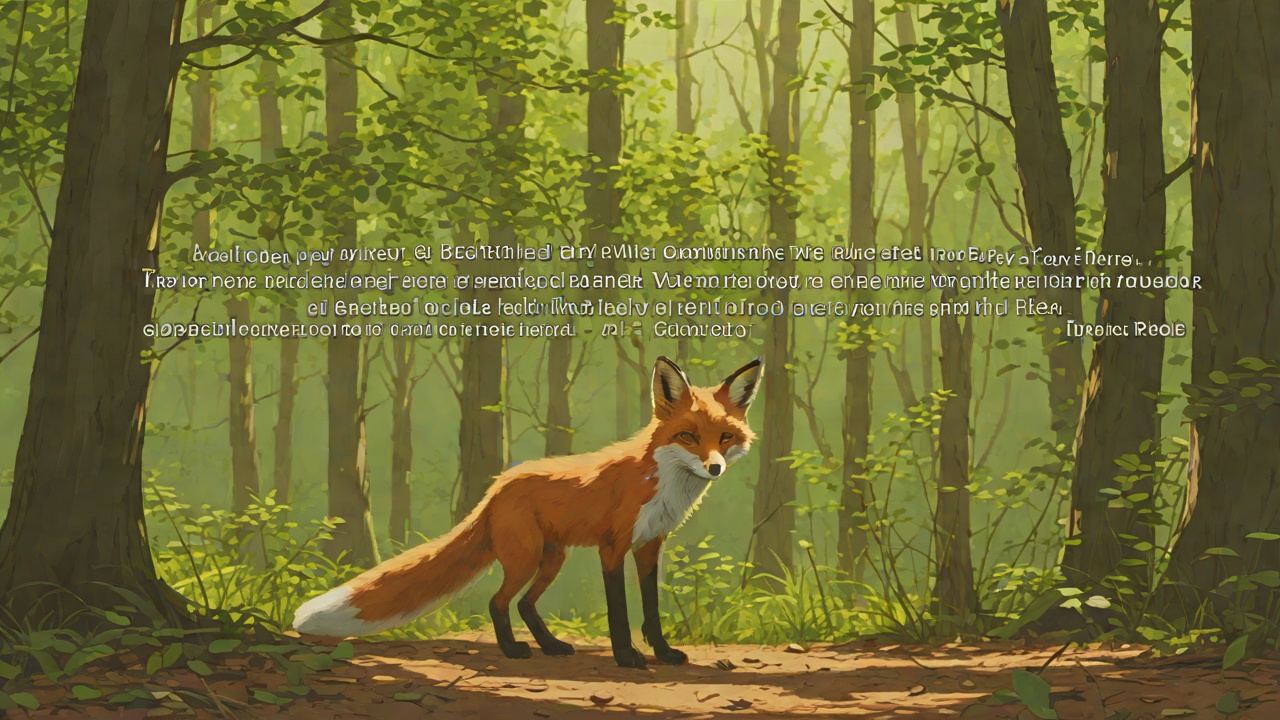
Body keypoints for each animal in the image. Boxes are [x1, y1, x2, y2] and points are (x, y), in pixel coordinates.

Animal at [293, 356, 761, 668]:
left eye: (725, 437)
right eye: (688, 436)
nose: (715, 468)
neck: (662, 483)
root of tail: (496, 487)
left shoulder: (649, 547)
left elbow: (650, 611)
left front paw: (662, 653)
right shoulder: (612, 548)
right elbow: (619, 613)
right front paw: (627, 657)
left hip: (552, 558)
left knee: (523, 605)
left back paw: (550, 646)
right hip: (526, 558)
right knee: (499, 602)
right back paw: (513, 650)